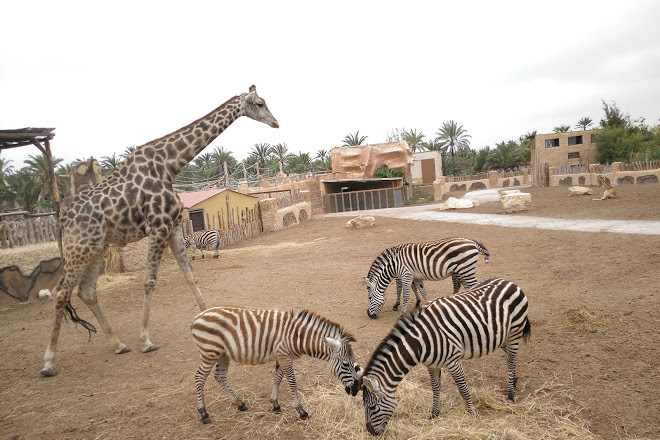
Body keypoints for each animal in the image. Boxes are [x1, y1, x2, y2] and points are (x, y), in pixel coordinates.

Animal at [41, 87, 278, 378]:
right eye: (260, 103)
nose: (275, 123)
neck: (169, 165)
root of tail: (62, 220)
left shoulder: (173, 226)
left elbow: (190, 275)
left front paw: (210, 322)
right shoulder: (158, 225)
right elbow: (149, 281)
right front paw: (146, 340)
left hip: (97, 246)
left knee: (86, 292)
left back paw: (118, 344)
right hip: (79, 247)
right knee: (61, 292)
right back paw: (49, 362)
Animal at [189, 306, 360, 422]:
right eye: (346, 364)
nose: (356, 390)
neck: (297, 336)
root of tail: (197, 317)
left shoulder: (282, 356)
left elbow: (277, 378)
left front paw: (275, 404)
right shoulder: (284, 356)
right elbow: (292, 383)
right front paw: (301, 411)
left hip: (222, 354)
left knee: (220, 376)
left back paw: (240, 403)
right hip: (209, 352)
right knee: (199, 378)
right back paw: (203, 413)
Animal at [360, 239, 490, 318]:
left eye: (369, 297)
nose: (369, 315)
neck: (394, 264)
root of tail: (472, 242)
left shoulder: (405, 275)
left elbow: (404, 293)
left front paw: (400, 311)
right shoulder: (416, 278)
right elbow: (422, 291)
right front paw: (426, 305)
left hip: (466, 270)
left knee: (473, 286)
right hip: (462, 271)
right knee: (466, 287)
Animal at [360, 276, 532, 434]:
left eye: (372, 407)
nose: (371, 432)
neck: (420, 342)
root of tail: (509, 282)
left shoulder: (453, 361)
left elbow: (463, 388)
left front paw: (472, 413)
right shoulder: (431, 365)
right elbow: (435, 388)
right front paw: (434, 413)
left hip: (514, 333)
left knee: (511, 361)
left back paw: (510, 395)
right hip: (501, 337)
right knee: (510, 359)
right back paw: (514, 381)